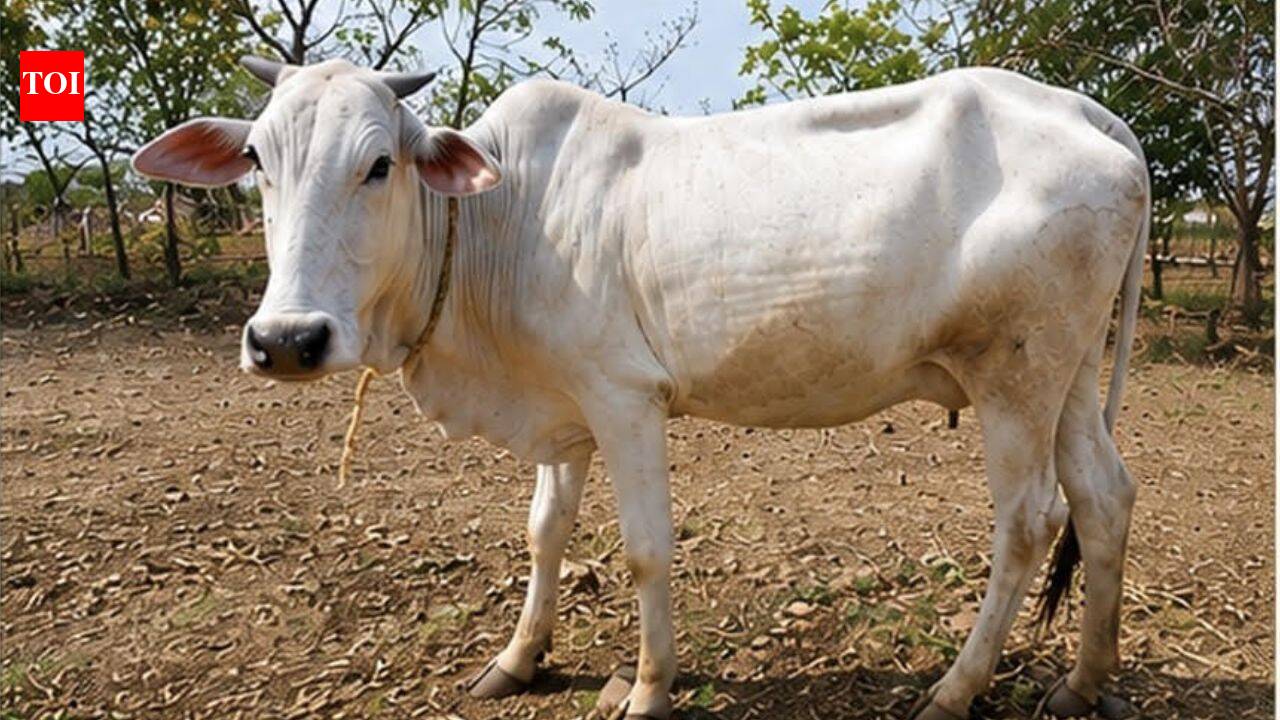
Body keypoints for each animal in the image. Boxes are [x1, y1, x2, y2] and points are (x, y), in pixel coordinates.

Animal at [132, 57, 1149, 720]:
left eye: (379, 163)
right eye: (258, 162)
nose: (286, 340)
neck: (496, 220)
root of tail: (1092, 115)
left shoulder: (624, 400)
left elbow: (645, 551)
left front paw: (651, 686)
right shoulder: (564, 415)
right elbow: (544, 534)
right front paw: (518, 658)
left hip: (1015, 376)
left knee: (1029, 521)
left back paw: (954, 688)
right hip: (1063, 378)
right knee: (1103, 497)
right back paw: (1084, 679)